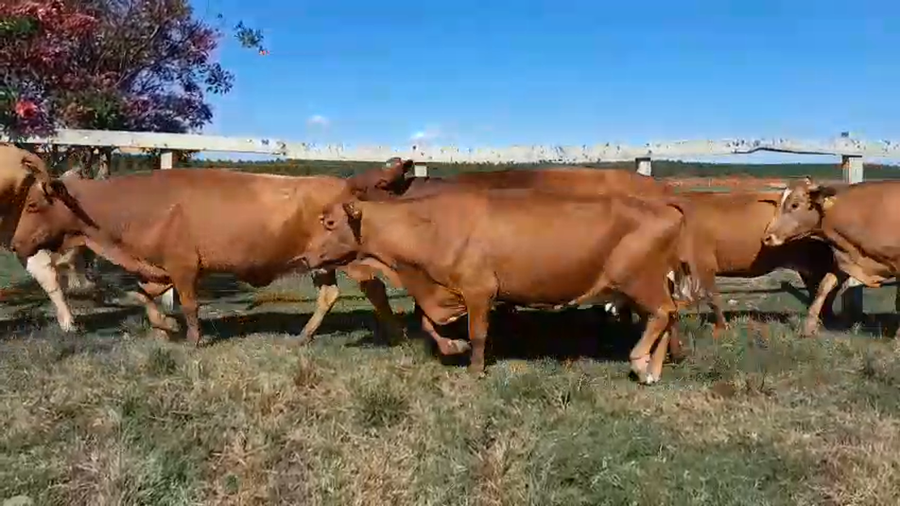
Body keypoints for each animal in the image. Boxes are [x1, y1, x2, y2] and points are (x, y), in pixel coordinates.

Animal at [8, 168, 405, 346]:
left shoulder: (183, 266)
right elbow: (139, 294)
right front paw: (164, 327)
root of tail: (343, 182)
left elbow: (189, 304)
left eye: (33, 204)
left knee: (375, 289)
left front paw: (193, 339)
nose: (12, 244)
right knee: (329, 294)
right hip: (319, 263)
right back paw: (304, 336)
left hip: (352, 261)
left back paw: (395, 333)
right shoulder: (157, 269)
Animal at [299, 186, 704, 384]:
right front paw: (453, 346)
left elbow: (478, 333)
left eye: (330, 223)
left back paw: (640, 363)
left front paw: (475, 369)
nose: (304, 256)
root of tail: (665, 207)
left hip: (638, 280)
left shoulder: (479, 290)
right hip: (646, 285)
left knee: (663, 314)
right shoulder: (445, 292)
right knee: (667, 317)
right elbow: (428, 324)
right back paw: (653, 370)